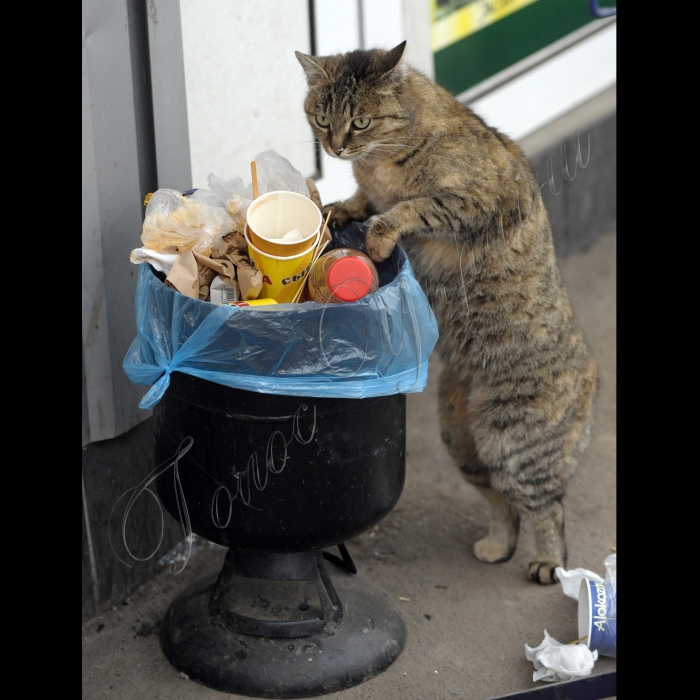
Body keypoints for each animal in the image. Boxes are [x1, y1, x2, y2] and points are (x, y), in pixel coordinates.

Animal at [294, 41, 596, 584]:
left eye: (361, 122)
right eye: (322, 118)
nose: (335, 148)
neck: (379, 160)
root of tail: (594, 371)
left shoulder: (472, 200)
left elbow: (411, 207)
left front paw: (379, 234)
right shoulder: (371, 187)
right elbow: (363, 201)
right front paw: (341, 208)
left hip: (513, 442)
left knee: (549, 508)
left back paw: (547, 561)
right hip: (460, 438)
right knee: (504, 503)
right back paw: (497, 546)